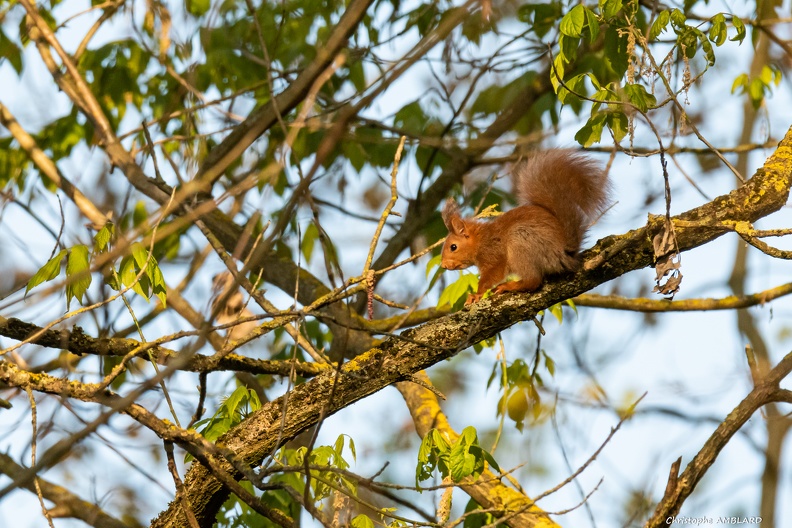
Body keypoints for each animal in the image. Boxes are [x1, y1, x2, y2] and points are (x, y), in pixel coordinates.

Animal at [442, 148, 608, 306]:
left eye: (453, 247)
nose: (443, 265)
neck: (481, 239)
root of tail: (565, 253)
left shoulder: (494, 254)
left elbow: (492, 274)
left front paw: (476, 294)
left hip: (521, 242)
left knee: (533, 281)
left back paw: (509, 286)